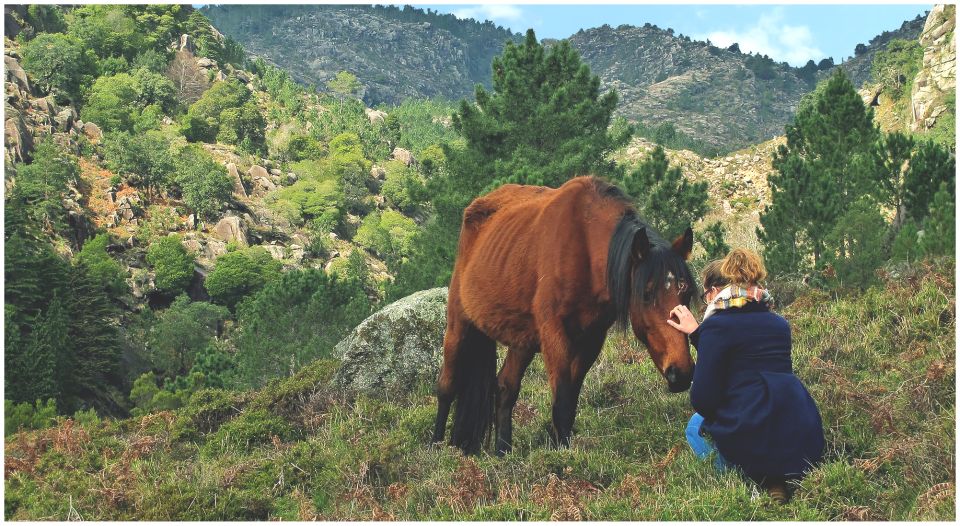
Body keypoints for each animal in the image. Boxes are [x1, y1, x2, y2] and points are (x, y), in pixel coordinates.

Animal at [432, 175, 692, 456]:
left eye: (686, 292)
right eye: (646, 294)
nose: (682, 374)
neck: (584, 245)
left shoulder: (591, 340)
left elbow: (570, 401)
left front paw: (559, 447)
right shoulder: (555, 335)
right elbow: (562, 402)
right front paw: (562, 457)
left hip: (521, 341)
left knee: (505, 388)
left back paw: (503, 452)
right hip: (458, 325)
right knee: (447, 386)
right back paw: (435, 445)